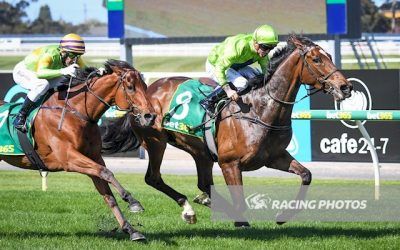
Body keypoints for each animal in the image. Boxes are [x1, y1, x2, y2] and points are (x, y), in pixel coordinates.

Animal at [0, 59, 155, 241]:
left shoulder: (93, 158)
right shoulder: (68, 159)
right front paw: (132, 201)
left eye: (145, 86)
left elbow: (107, 193)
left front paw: (131, 230)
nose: (150, 116)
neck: (77, 111)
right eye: (130, 87)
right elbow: (106, 172)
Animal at [101, 35, 352, 227]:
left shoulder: (275, 157)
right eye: (317, 59)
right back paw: (190, 209)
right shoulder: (230, 163)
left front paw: (283, 216)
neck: (260, 110)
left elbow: (306, 175)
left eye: (330, 57)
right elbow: (240, 202)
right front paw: (240, 220)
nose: (345, 87)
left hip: (200, 151)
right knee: (153, 178)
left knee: (203, 183)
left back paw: (202, 203)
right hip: (156, 142)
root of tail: (146, 91)